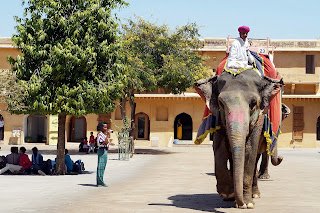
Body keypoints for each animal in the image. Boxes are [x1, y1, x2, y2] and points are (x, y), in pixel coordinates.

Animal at [195, 69, 282, 209]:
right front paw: (227, 194)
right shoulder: (218, 117)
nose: (281, 158)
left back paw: (254, 195)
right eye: (221, 103)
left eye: (253, 104)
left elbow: (250, 150)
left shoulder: (259, 118)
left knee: (254, 159)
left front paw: (247, 204)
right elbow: (219, 148)